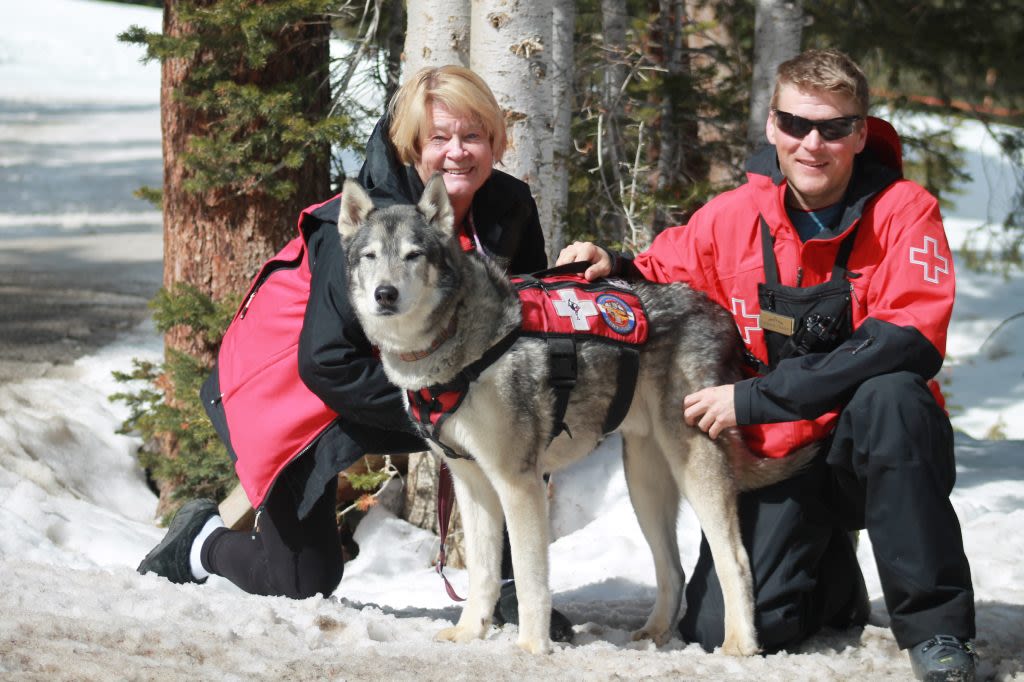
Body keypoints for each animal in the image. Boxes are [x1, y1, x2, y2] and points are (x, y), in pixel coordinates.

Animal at [339, 174, 811, 655]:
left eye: (414, 254)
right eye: (370, 256)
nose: (384, 294)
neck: (458, 343)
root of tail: (719, 314)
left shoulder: (518, 483)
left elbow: (529, 578)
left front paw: (531, 646)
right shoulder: (472, 484)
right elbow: (483, 574)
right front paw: (471, 632)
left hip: (693, 466)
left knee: (734, 559)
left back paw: (738, 644)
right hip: (643, 482)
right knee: (672, 568)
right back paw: (655, 633)